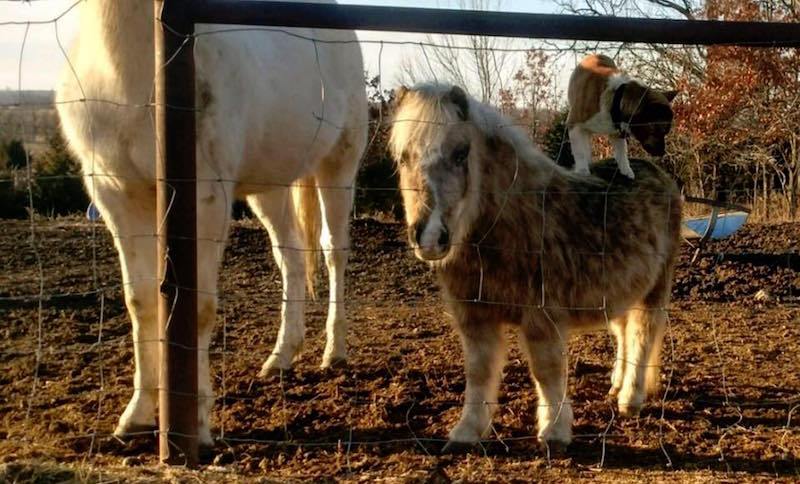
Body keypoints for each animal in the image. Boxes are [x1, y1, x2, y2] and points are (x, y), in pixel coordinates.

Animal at [56, 0, 367, 445]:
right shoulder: (117, 197)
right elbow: (142, 303)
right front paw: (136, 416)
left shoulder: (206, 197)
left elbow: (198, 305)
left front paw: (198, 424)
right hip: (269, 184)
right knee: (289, 256)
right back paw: (281, 356)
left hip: (339, 162)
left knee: (333, 251)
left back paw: (335, 352)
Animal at [389, 83, 682, 450]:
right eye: (403, 157)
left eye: (460, 154)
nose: (429, 237)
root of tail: (660, 175)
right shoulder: (475, 316)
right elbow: (478, 371)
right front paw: (467, 432)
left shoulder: (542, 315)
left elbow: (547, 370)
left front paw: (554, 432)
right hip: (622, 293)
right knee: (625, 334)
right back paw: (616, 386)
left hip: (655, 289)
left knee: (643, 335)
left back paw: (631, 399)